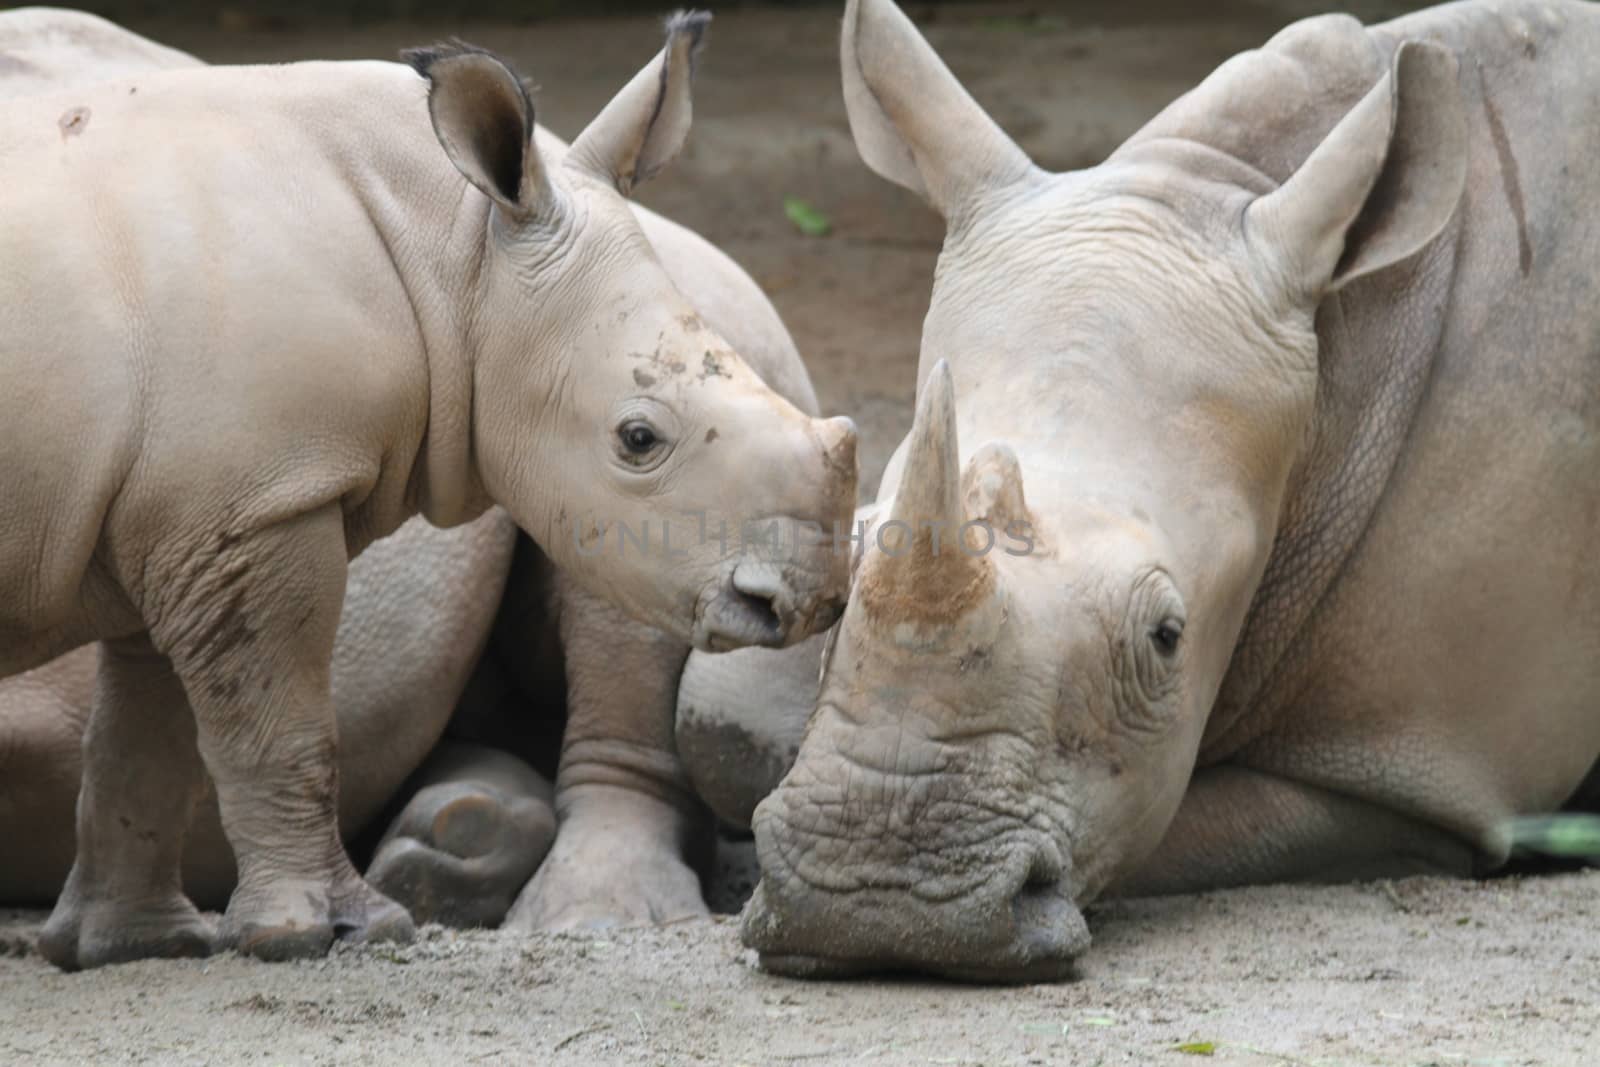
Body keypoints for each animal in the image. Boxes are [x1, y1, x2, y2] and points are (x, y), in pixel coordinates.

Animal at [3, 6, 864, 966]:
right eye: (638, 438)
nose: (812, 602)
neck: (453, 247)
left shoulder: (216, 504)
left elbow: (171, 726)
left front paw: (160, 943)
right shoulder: (228, 507)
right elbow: (247, 725)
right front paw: (296, 933)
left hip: (724, 291)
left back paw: (547, 897)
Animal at [675, 0, 1600, 985]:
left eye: (1167, 637)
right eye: (846, 581)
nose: (876, 902)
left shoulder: (1419, 764)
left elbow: (1175, 827)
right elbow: (721, 711)